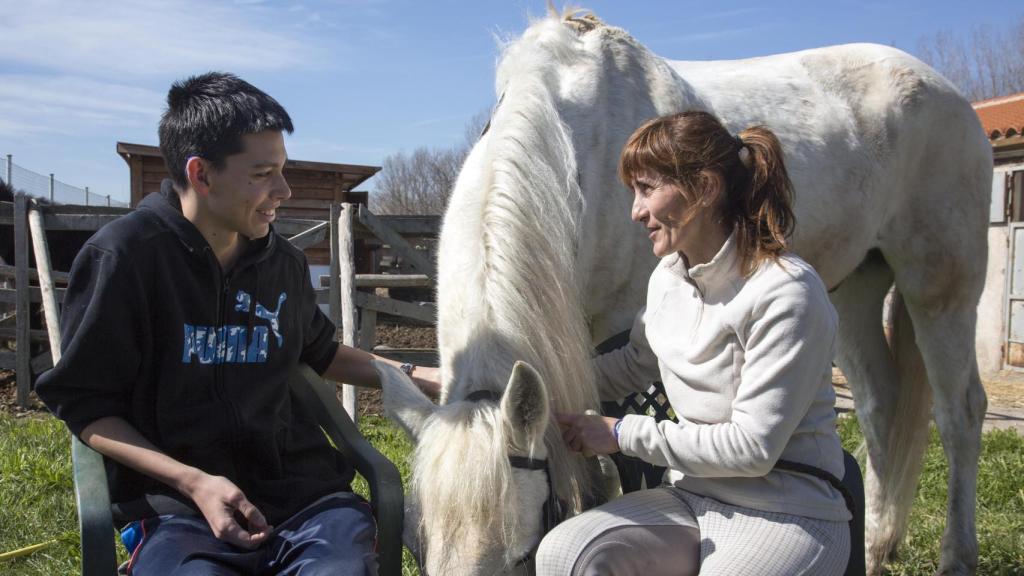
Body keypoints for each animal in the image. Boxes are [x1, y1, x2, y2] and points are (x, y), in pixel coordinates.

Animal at [378, 9, 991, 576]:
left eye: (520, 555)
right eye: (415, 547)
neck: (573, 151)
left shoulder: (622, 337)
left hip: (943, 286)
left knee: (960, 412)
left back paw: (956, 556)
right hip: (855, 289)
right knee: (881, 403)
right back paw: (874, 546)